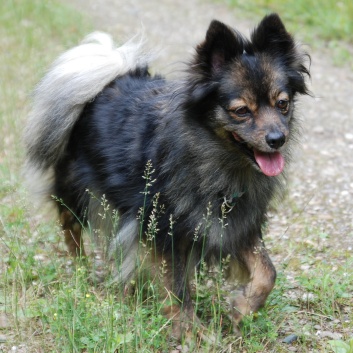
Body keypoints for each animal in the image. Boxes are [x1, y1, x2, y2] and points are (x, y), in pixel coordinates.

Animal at [24, 13, 310, 336]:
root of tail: (109, 80)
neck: (218, 160)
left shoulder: (235, 223)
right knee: (70, 227)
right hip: (76, 190)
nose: (277, 138)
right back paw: (81, 269)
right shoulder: (165, 231)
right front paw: (191, 331)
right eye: (241, 111)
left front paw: (242, 308)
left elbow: (267, 272)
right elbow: (176, 286)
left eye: (282, 104)